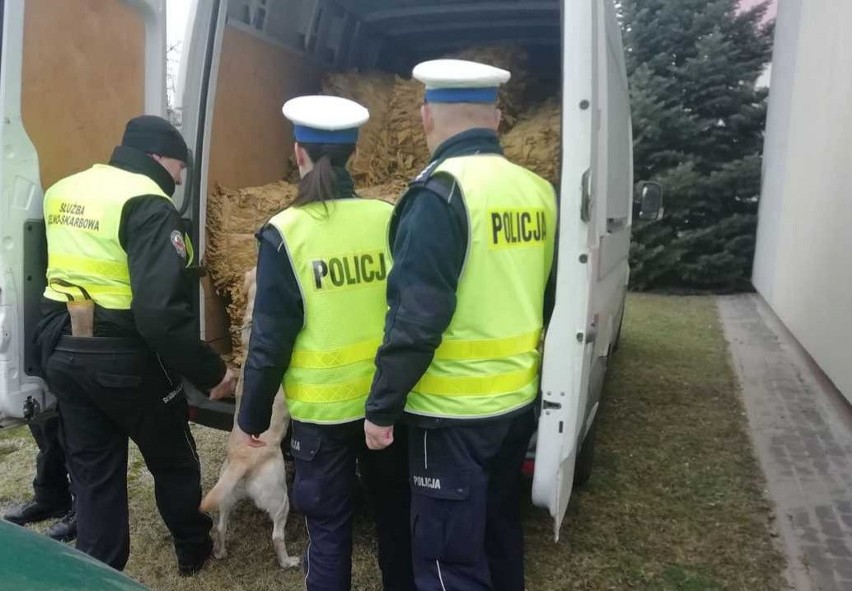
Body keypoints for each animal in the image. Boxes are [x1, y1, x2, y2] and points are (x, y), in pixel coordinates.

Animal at [201, 268, 302, 568]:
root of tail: (241, 463)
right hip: (280, 498)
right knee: (277, 536)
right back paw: (288, 561)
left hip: (225, 496)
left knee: (220, 527)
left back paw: (220, 552)